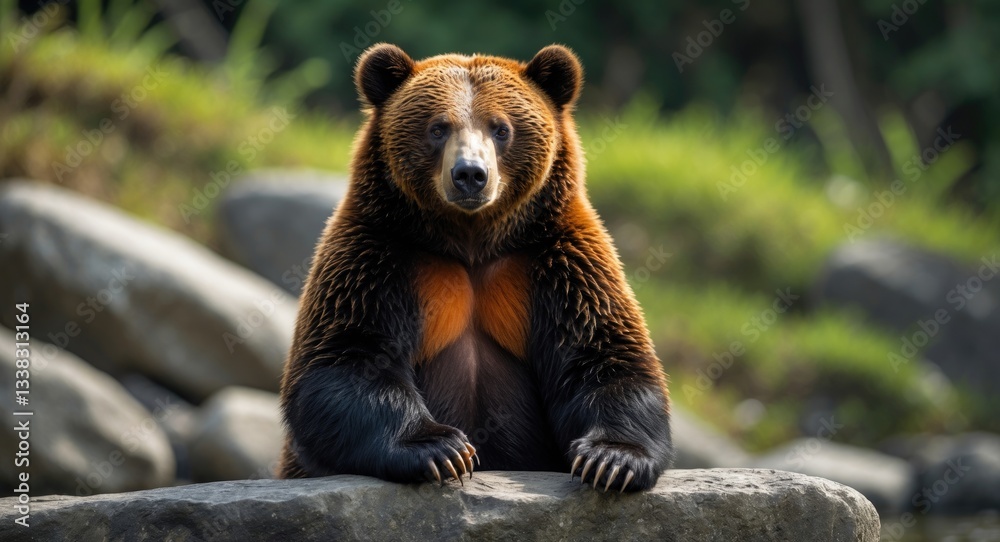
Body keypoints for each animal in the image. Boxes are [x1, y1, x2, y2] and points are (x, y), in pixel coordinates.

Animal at [277, 43, 673, 492]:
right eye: (437, 127)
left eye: (501, 128)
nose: (470, 174)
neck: (471, 241)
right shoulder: (380, 252)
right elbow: (345, 357)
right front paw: (441, 449)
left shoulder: (558, 259)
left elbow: (605, 355)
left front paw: (611, 460)